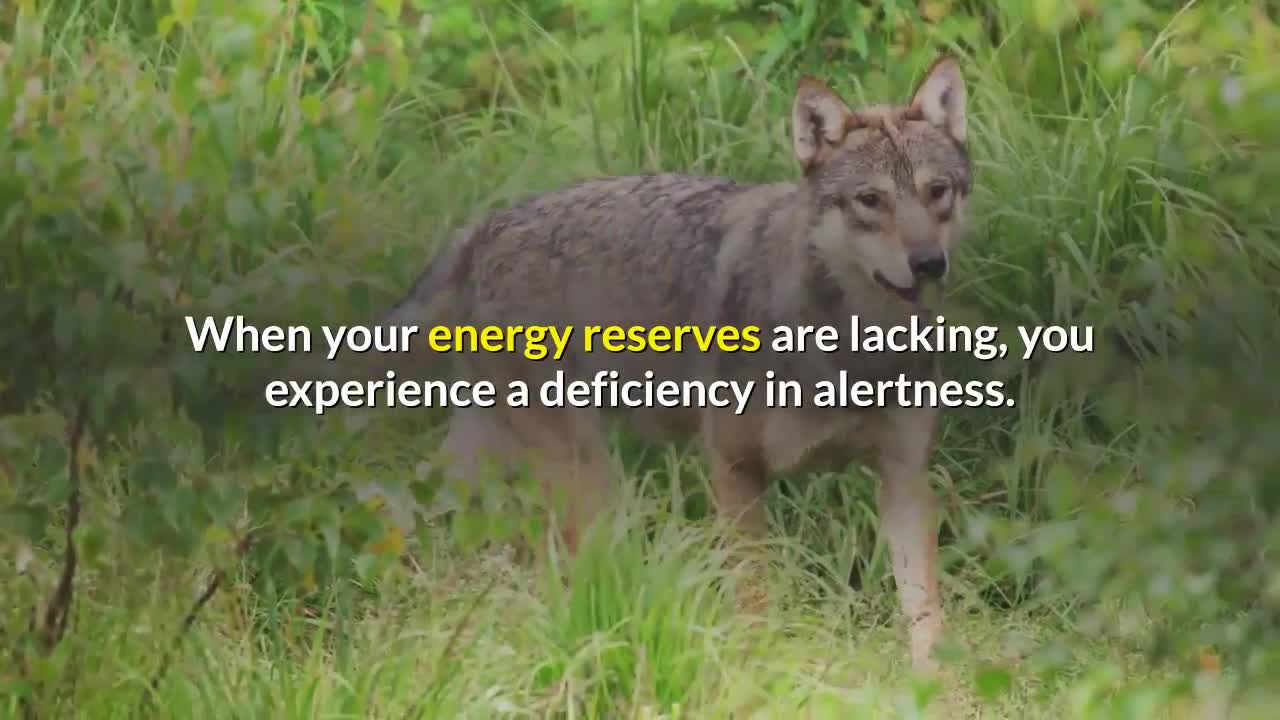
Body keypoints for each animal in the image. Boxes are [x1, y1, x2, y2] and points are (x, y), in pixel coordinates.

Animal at [360, 58, 967, 671]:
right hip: (586, 483)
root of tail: (485, 228)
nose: (929, 263)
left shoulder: (902, 478)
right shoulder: (735, 468)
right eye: (870, 200)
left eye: (937, 192)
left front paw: (935, 684)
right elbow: (755, 596)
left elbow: (927, 617)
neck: (852, 347)